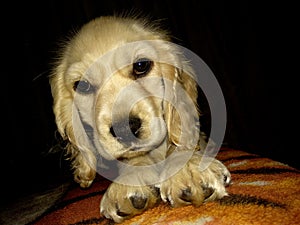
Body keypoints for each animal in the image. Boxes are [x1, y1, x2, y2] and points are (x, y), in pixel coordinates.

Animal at [50, 15, 231, 223]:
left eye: (141, 66)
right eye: (82, 86)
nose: (123, 130)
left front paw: (187, 169)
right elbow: (133, 159)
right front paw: (129, 180)